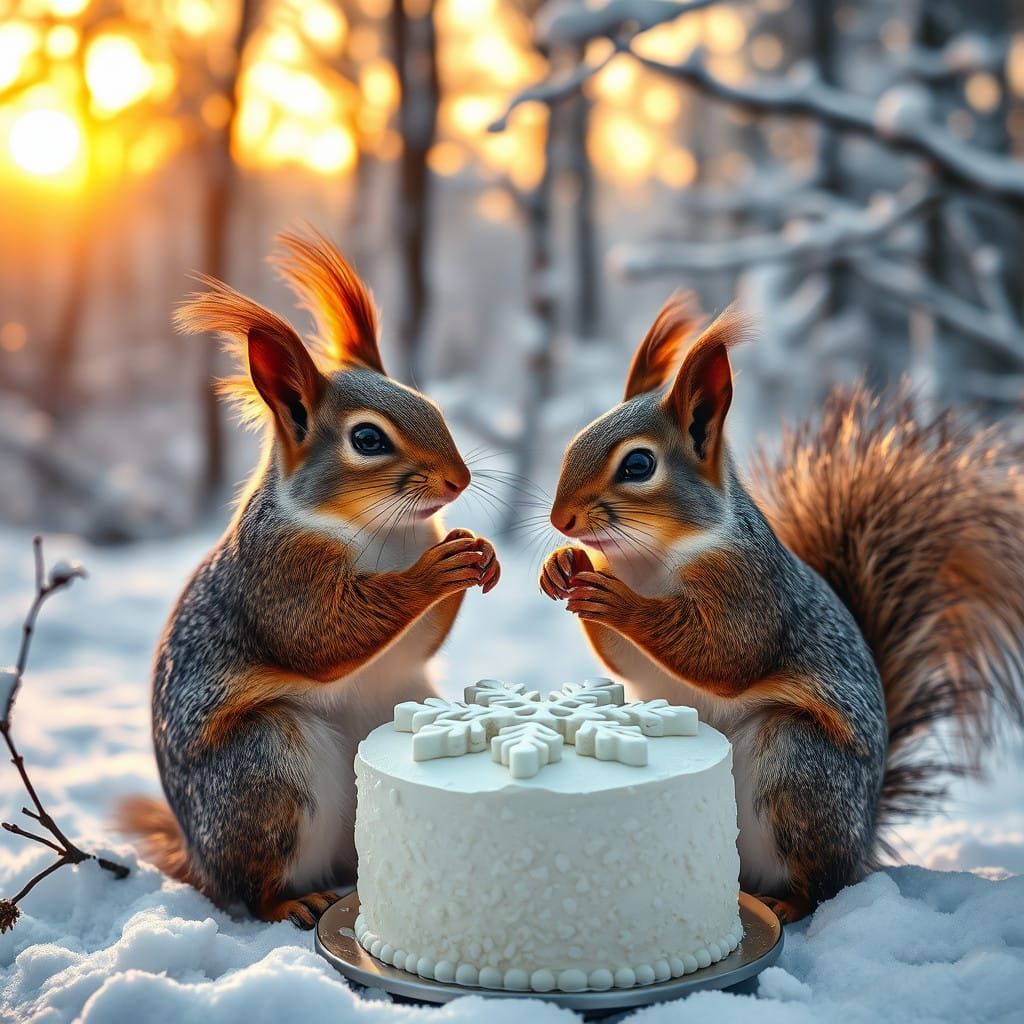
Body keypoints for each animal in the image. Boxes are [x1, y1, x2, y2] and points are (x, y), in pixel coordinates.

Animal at [118, 229, 500, 928]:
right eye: (369, 439)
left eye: (433, 407)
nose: (458, 481)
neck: (384, 531)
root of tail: (201, 863)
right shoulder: (275, 575)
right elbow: (322, 637)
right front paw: (436, 570)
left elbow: (421, 639)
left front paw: (478, 552)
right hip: (265, 772)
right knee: (254, 889)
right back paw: (297, 902)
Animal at [541, 295, 1024, 923]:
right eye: (574, 443)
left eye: (638, 466)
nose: (560, 520)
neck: (650, 557)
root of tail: (864, 841)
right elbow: (625, 660)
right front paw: (563, 565)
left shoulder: (751, 587)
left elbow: (726, 653)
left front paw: (615, 600)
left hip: (799, 770)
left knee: (820, 884)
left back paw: (787, 905)